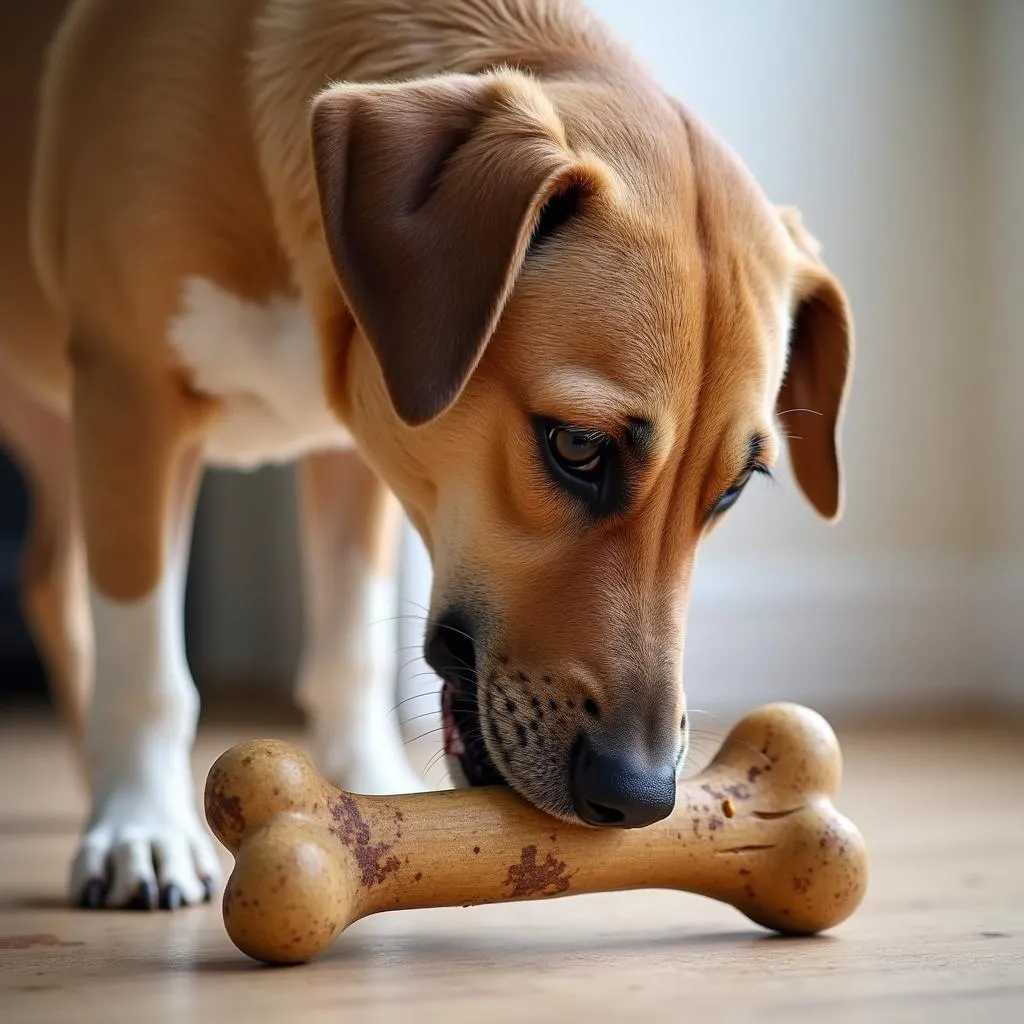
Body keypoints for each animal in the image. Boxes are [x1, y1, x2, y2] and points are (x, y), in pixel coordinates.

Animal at [0, 0, 847, 913]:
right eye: (578, 446)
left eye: (732, 491)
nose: (641, 797)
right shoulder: (131, 404)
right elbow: (147, 660)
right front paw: (142, 826)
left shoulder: (353, 447)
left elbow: (349, 645)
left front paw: (369, 790)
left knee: (47, 577)